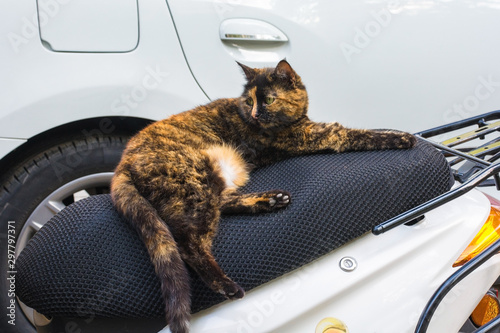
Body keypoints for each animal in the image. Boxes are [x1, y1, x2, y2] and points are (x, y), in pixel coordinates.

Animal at [110, 60, 418, 332]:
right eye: (249, 102)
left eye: (268, 100)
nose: (255, 114)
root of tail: (122, 163)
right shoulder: (319, 136)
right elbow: (361, 133)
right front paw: (402, 137)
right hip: (196, 182)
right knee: (189, 243)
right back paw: (228, 286)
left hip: (217, 179)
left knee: (222, 204)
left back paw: (271, 200)